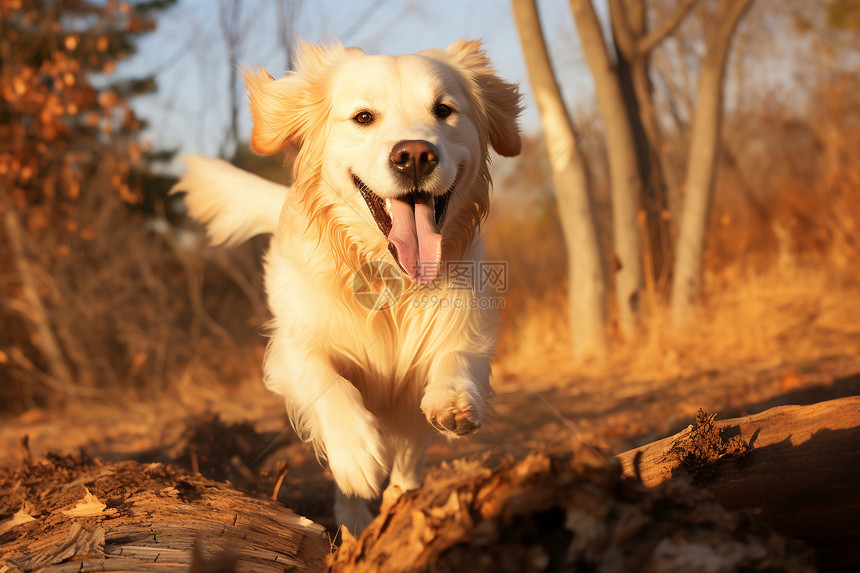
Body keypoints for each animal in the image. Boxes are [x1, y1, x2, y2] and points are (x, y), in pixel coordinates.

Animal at [171, 39, 520, 532]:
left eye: (444, 110)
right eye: (363, 117)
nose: (415, 155)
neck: (391, 277)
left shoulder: (464, 328)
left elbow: (455, 358)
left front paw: (452, 402)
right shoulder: (293, 348)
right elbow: (327, 380)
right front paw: (356, 452)